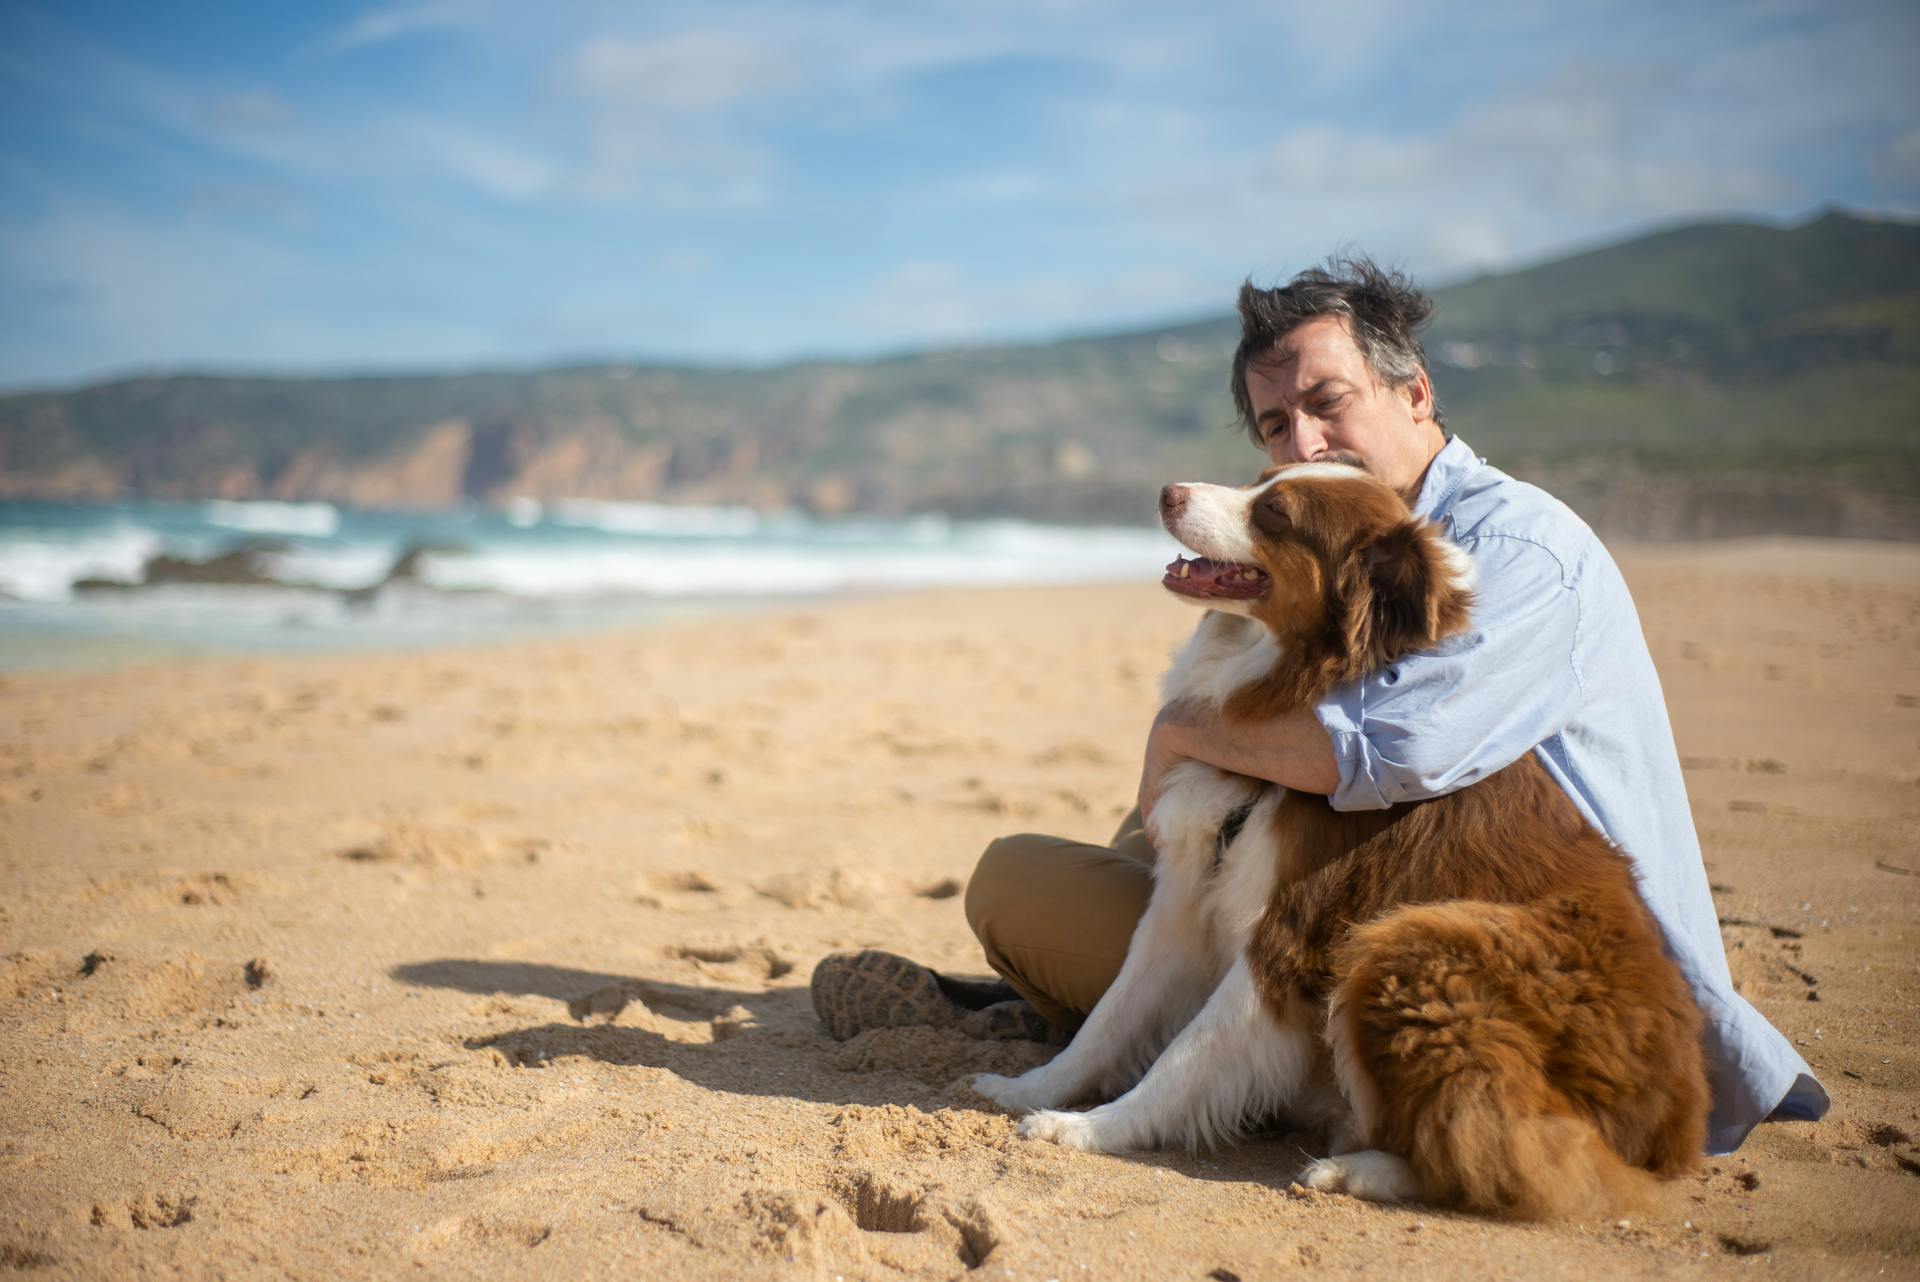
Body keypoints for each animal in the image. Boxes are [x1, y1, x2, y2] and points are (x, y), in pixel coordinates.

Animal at [975, 462, 1712, 1220]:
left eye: (1275, 512)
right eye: (1260, 478)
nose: (1168, 493)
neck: (1290, 677)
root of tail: (1675, 1132)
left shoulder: (1290, 932)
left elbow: (1189, 1052)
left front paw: (1094, 1128)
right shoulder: (1184, 899)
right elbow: (1113, 1015)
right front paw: (1033, 1090)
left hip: (1411, 943)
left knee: (1504, 1147)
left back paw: (1360, 1170)